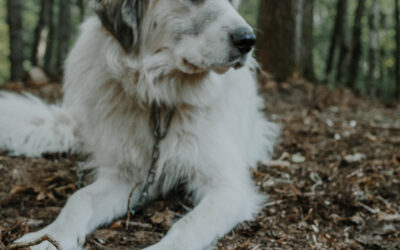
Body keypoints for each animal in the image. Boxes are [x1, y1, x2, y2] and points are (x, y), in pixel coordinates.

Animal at [0, 0, 278, 249]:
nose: (248, 40)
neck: (163, 99)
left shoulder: (227, 187)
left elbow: (186, 226)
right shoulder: (128, 176)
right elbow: (80, 198)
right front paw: (50, 237)